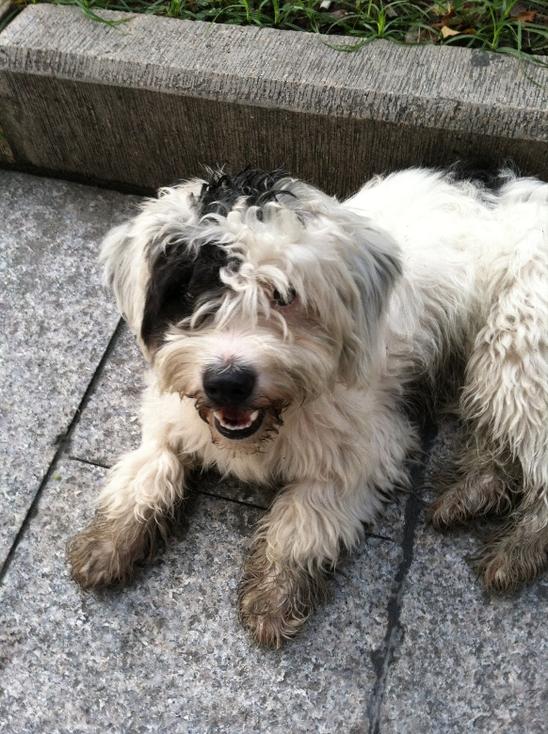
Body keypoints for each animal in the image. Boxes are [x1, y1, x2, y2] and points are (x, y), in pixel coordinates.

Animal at [68, 167, 548, 648]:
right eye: (187, 290)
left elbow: (302, 517)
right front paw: (110, 542)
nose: (227, 383)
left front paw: (274, 595)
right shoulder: (170, 418)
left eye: (284, 294)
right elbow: (152, 464)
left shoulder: (366, 450)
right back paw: (471, 495)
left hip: (516, 345)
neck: (276, 418)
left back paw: (516, 550)